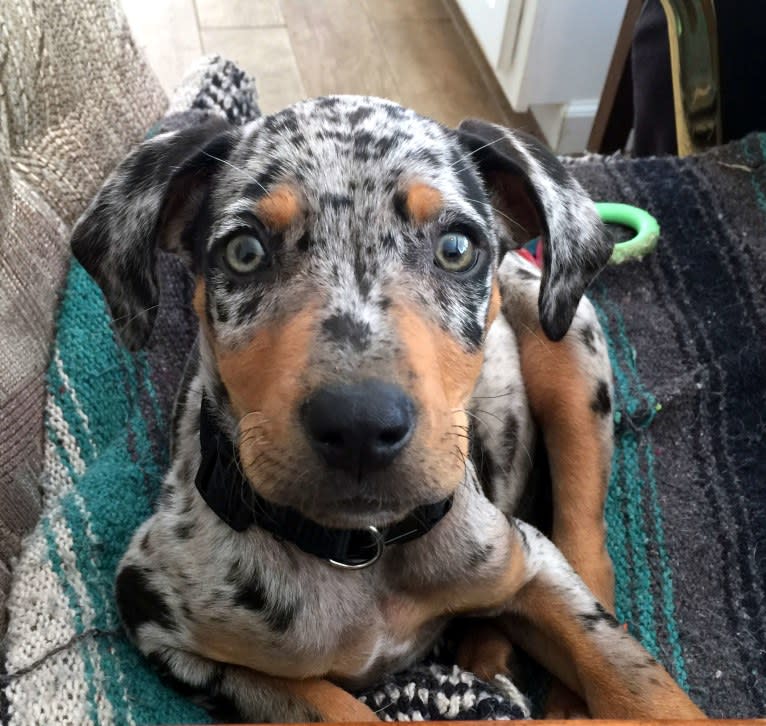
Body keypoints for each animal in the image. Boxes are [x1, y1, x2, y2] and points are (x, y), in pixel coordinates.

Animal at [72, 95, 708, 724]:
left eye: (456, 248)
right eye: (244, 252)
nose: (360, 426)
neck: (362, 555)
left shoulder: (530, 563)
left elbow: (639, 680)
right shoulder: (165, 624)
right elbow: (335, 708)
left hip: (571, 347)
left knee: (587, 544)